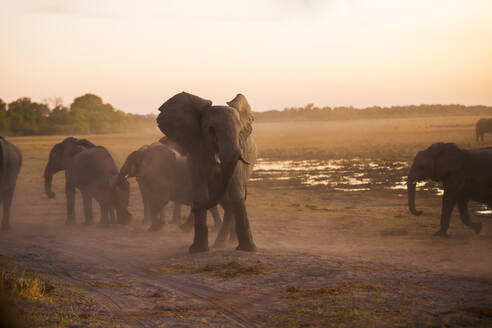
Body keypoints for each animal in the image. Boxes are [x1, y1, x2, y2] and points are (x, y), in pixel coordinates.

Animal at [158, 92, 258, 254]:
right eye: (211, 130)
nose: (192, 209)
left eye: (240, 131)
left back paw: (224, 244)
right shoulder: (197, 151)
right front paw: (198, 250)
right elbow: (201, 193)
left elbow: (236, 193)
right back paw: (220, 244)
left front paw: (249, 250)